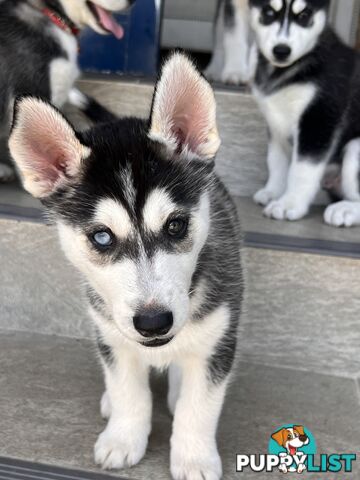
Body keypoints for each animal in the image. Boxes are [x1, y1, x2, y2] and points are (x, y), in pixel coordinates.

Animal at [8, 54, 245, 478]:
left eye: (176, 225)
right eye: (102, 237)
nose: (154, 322)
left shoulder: (220, 337)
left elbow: (200, 405)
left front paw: (194, 457)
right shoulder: (112, 336)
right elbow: (127, 391)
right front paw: (123, 438)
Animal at [249, 0, 360, 228]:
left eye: (304, 15)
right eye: (269, 12)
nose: (281, 50)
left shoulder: (318, 119)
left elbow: (302, 170)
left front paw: (289, 203)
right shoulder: (275, 124)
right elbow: (277, 162)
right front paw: (274, 191)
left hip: (356, 148)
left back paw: (346, 210)